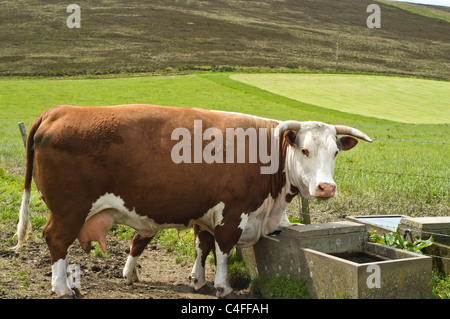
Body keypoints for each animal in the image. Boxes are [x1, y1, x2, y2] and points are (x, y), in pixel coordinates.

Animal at [14, 105, 372, 300]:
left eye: (335, 152)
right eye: (305, 150)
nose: (326, 187)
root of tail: (58, 111)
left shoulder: (207, 212)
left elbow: (203, 246)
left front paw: (197, 280)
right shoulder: (232, 213)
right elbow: (223, 251)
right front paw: (222, 286)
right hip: (69, 209)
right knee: (56, 240)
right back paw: (62, 287)